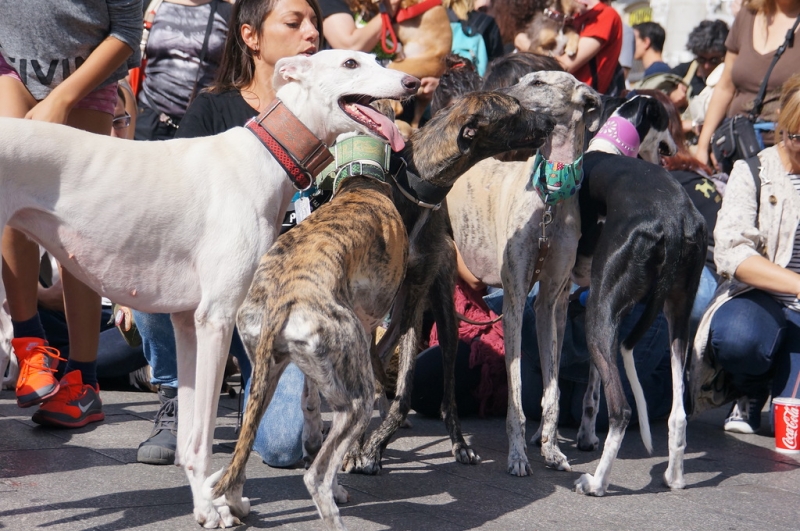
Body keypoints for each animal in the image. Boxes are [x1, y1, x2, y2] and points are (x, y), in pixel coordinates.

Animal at [568, 93, 708, 496]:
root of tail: (674, 218)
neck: (607, 147)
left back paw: (597, 482)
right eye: (667, 120)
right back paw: (674, 477)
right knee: (678, 415)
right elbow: (591, 388)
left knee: (622, 410)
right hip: (675, 318)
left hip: (600, 314)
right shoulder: (585, 297)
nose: (678, 145)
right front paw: (585, 435)